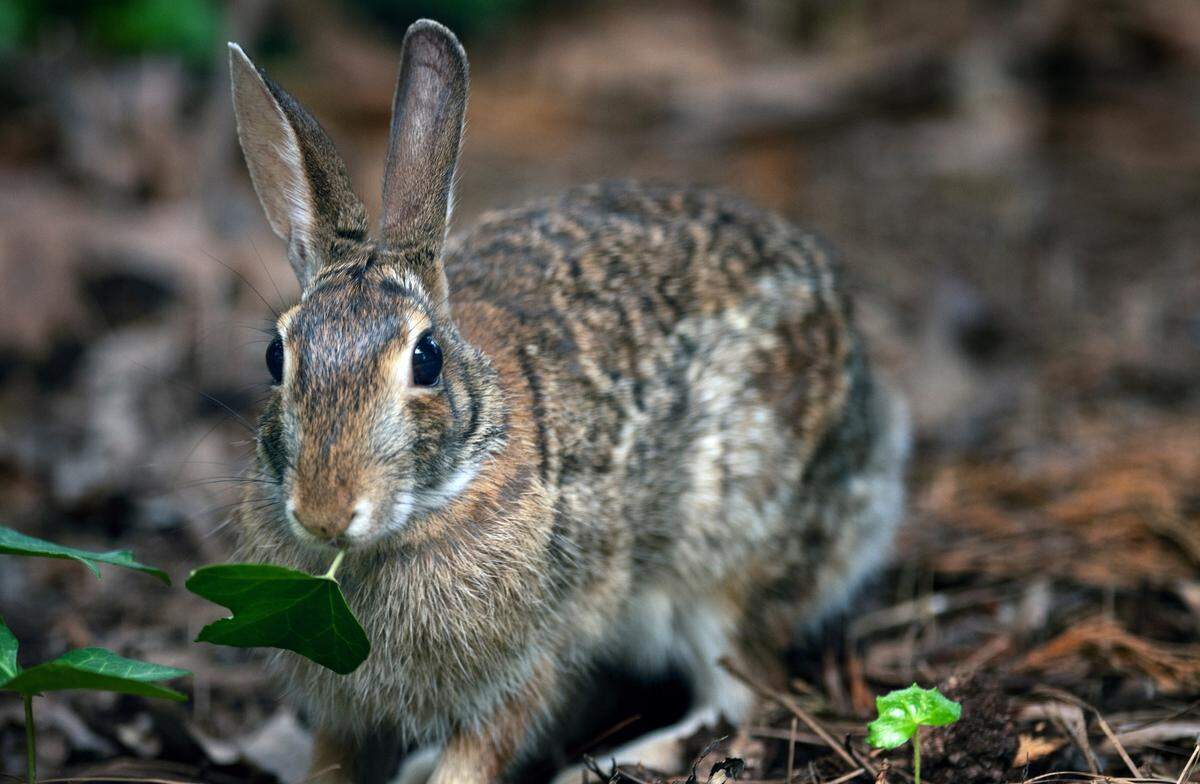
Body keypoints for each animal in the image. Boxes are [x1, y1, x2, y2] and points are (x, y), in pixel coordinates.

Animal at [228, 18, 910, 784]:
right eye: (276, 356)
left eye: (426, 360)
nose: (325, 512)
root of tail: (876, 435)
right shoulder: (340, 704)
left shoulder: (527, 668)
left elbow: (478, 756)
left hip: (726, 565)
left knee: (743, 705)